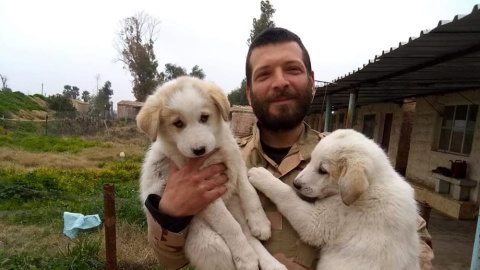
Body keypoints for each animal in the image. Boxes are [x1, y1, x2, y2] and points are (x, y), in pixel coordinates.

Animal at [137, 76, 286, 270]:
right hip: (210, 242)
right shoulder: (204, 195)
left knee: (249, 235)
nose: (199, 149)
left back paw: (272, 263)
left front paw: (259, 222)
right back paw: (247, 258)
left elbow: (249, 192)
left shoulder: (236, 163)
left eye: (204, 117)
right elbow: (229, 225)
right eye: (178, 123)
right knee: (235, 236)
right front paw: (245, 256)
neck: (211, 154)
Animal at [248, 129, 420, 270]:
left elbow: (285, 194)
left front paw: (261, 176)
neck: (373, 184)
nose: (296, 183)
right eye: (311, 160)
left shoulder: (320, 222)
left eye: (323, 170)